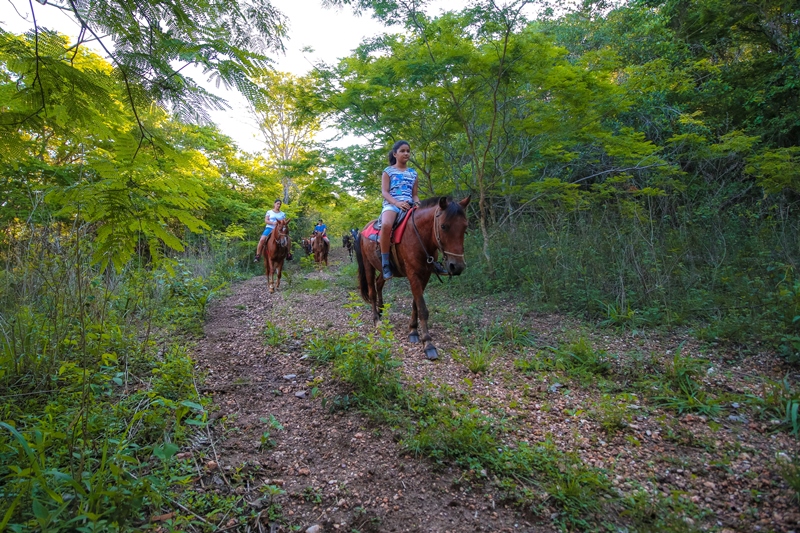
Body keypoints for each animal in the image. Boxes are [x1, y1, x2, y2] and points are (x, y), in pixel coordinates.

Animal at [354, 197, 468, 360]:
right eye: (444, 226)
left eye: (465, 227)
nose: (457, 266)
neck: (419, 235)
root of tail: (363, 230)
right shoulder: (413, 274)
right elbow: (422, 308)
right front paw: (428, 344)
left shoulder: (425, 275)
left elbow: (416, 304)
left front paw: (413, 331)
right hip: (368, 265)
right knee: (372, 292)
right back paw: (376, 319)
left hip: (385, 270)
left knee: (379, 283)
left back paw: (382, 310)